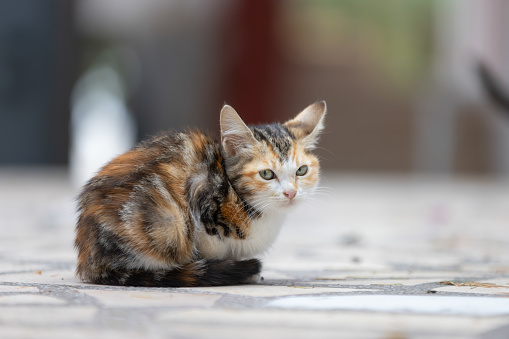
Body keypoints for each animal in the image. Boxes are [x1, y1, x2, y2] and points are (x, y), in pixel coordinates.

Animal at [74, 101, 326, 286]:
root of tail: (89, 260)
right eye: (266, 174)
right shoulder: (201, 198)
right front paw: (223, 268)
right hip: (167, 222)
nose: (291, 192)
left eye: (302, 170)